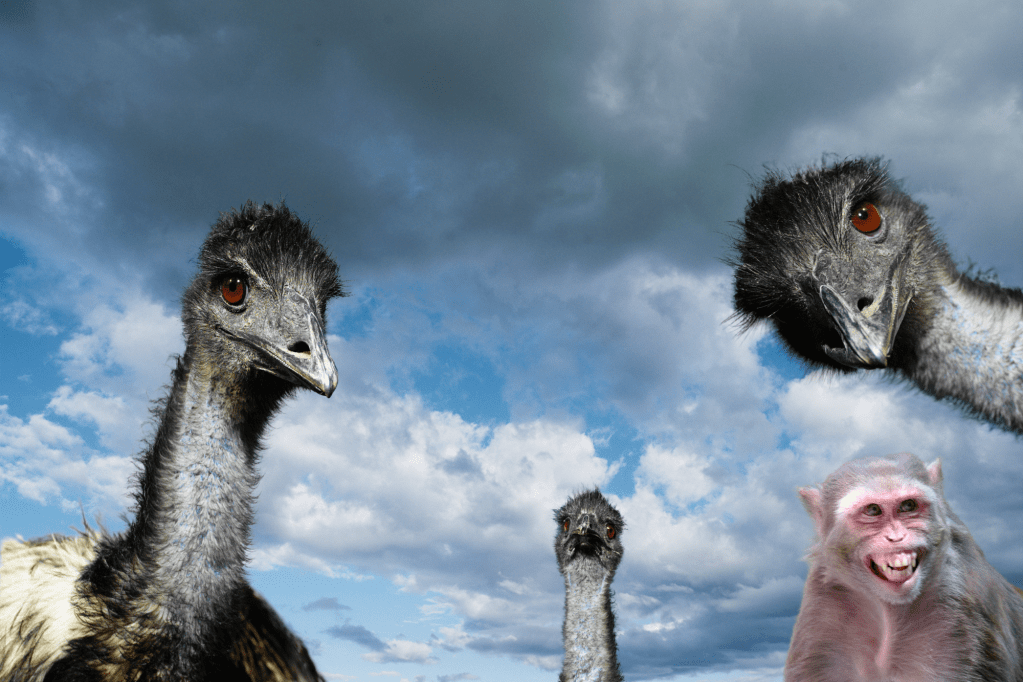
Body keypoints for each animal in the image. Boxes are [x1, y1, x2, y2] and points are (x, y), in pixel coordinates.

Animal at [785, 449, 1023, 678]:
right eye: (873, 510)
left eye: (908, 506)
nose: (896, 537)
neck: (889, 612)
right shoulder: (822, 607)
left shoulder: (962, 604)